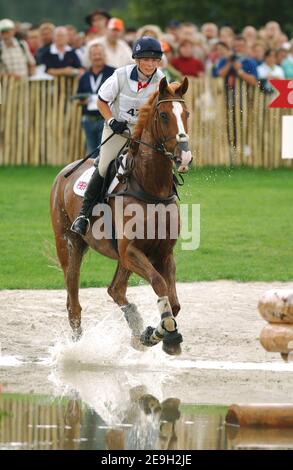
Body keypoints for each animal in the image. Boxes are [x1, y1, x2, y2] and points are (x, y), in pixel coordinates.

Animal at [50, 77, 192, 354]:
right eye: (163, 115)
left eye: (186, 114)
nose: (185, 156)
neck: (151, 187)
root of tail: (63, 173)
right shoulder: (131, 251)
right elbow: (159, 285)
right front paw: (167, 334)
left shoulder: (162, 253)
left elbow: (174, 302)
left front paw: (154, 334)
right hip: (70, 244)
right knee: (74, 302)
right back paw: (77, 348)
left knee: (115, 289)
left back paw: (137, 330)